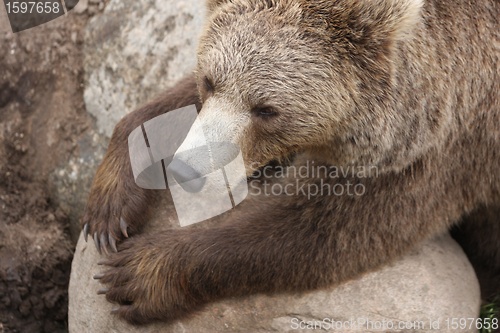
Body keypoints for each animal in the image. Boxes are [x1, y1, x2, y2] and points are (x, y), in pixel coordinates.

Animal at [82, 0, 500, 324]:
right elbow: (165, 109)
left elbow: (333, 228)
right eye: (210, 80)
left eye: (267, 109)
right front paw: (111, 209)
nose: (189, 172)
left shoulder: (448, 145)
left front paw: (139, 273)